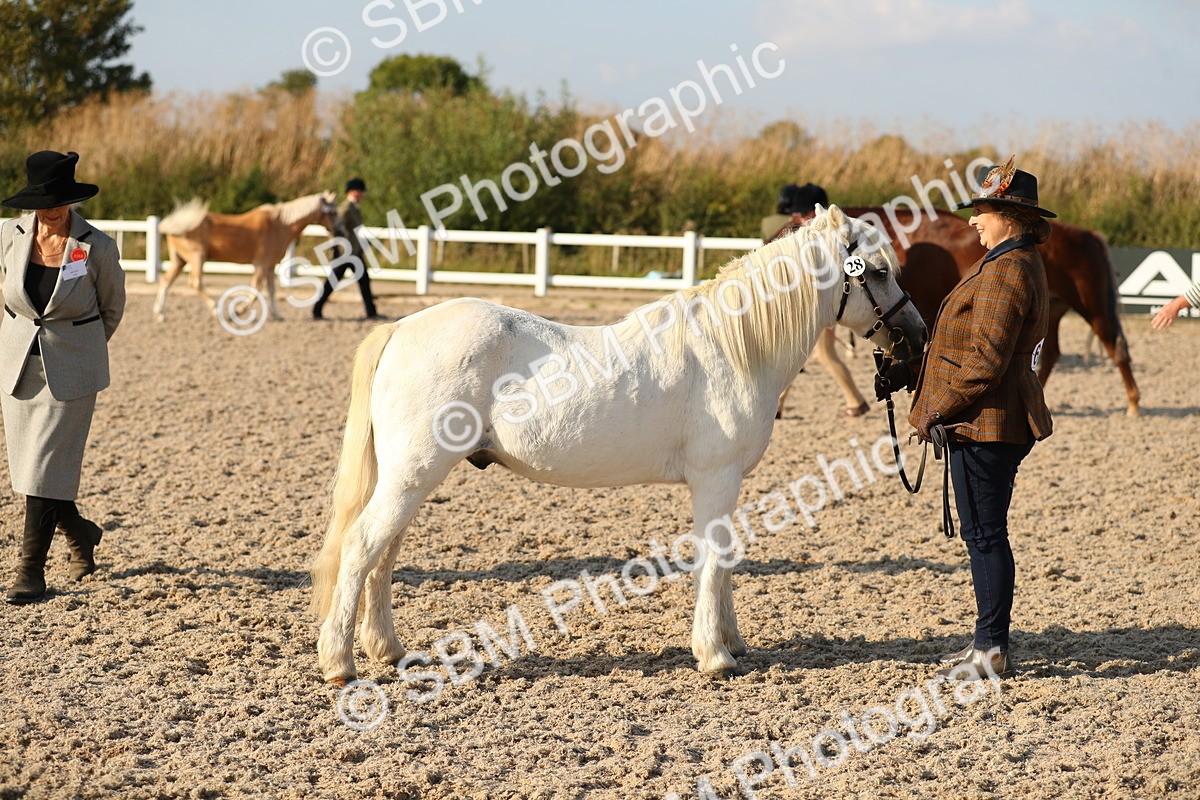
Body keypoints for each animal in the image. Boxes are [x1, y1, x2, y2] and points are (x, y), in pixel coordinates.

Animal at [153, 192, 338, 322]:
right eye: (333, 212)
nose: (338, 229)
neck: (280, 225)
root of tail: (174, 225)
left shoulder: (270, 266)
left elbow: (271, 291)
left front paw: (276, 315)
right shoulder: (261, 265)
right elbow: (255, 291)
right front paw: (237, 311)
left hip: (179, 261)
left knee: (165, 282)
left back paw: (160, 314)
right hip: (197, 258)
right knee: (195, 283)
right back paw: (216, 310)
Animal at [309, 206, 927, 685]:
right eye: (877, 271)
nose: (917, 336)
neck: (735, 346)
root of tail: (402, 329)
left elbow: (724, 560)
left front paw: (733, 642)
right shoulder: (715, 477)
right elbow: (713, 560)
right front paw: (714, 655)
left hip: (411, 478)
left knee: (384, 554)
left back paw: (387, 650)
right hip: (413, 475)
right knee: (362, 547)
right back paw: (340, 663)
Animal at [778, 208, 1140, 417]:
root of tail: (1087, 234)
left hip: (1094, 309)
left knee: (1116, 349)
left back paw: (1134, 404)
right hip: (1052, 313)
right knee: (1049, 354)